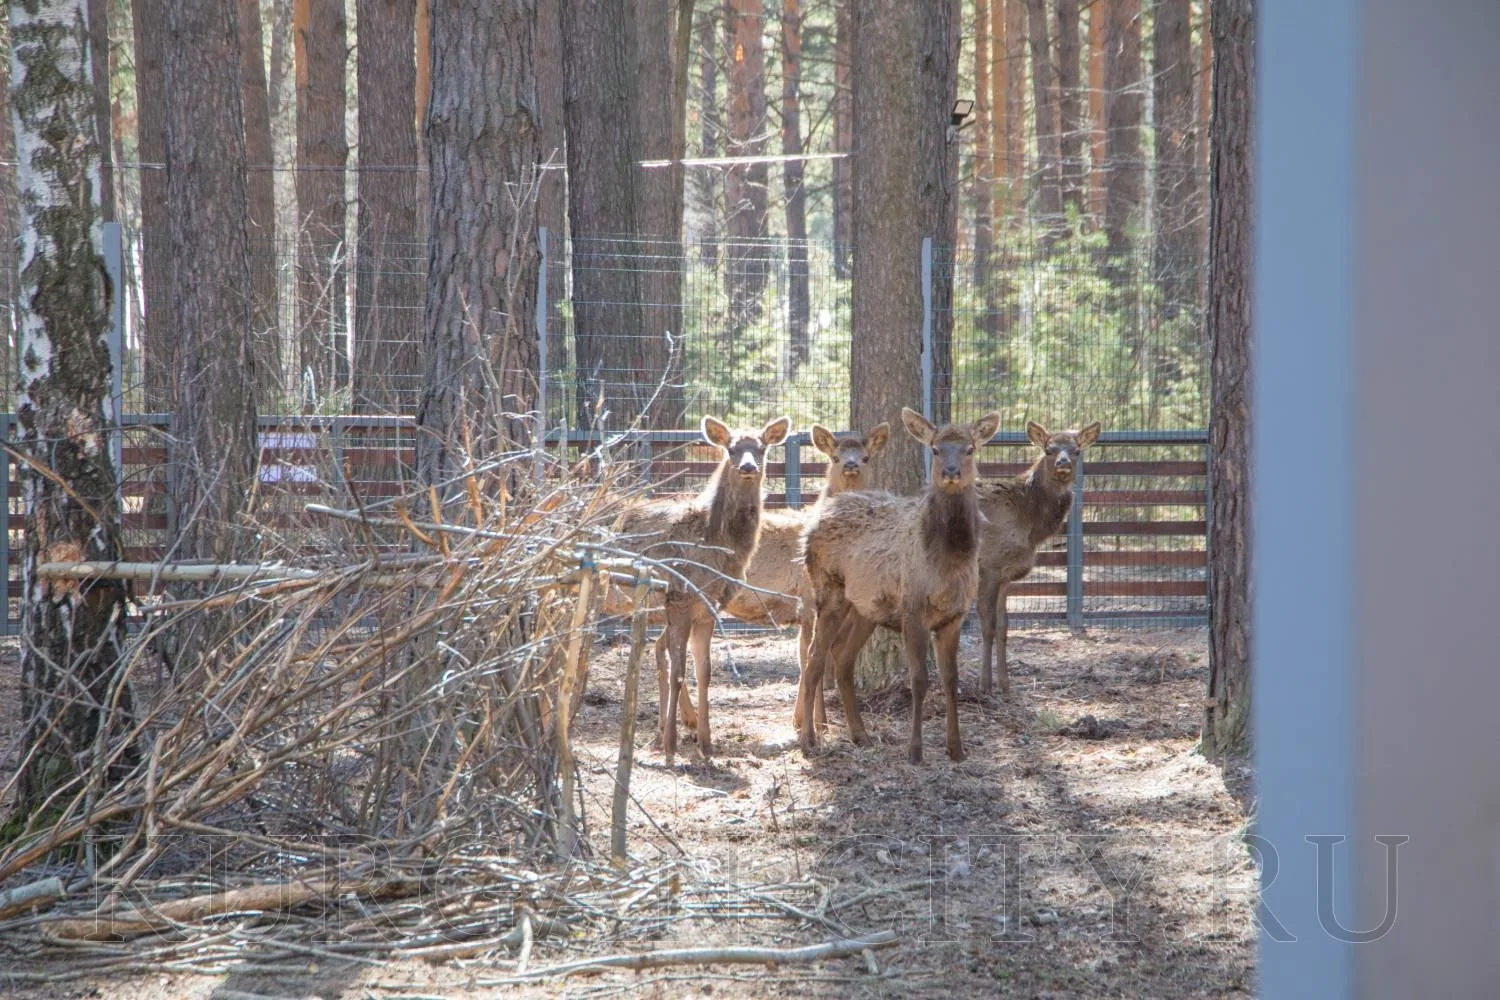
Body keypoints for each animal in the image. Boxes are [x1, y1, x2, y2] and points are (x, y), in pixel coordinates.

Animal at [611, 414, 791, 760]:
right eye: (731, 448)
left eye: (761, 448)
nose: (748, 466)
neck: (714, 542)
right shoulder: (680, 597)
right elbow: (680, 670)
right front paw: (671, 745)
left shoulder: (708, 607)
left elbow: (704, 672)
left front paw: (706, 743)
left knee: (657, 649)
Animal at [797, 407, 1002, 764]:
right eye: (935, 449)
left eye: (970, 449)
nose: (950, 472)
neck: (948, 561)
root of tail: (812, 522)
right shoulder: (913, 610)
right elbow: (919, 679)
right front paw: (915, 751)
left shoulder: (955, 616)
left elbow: (951, 680)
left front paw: (956, 749)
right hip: (828, 590)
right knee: (814, 658)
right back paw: (810, 739)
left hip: (865, 607)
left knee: (843, 658)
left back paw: (860, 735)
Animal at [975, 420, 1101, 698]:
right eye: (1048, 449)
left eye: (1077, 451)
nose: (1063, 463)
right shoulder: (989, 565)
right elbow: (987, 623)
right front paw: (985, 685)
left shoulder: (1006, 575)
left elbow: (1003, 625)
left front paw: (1005, 683)